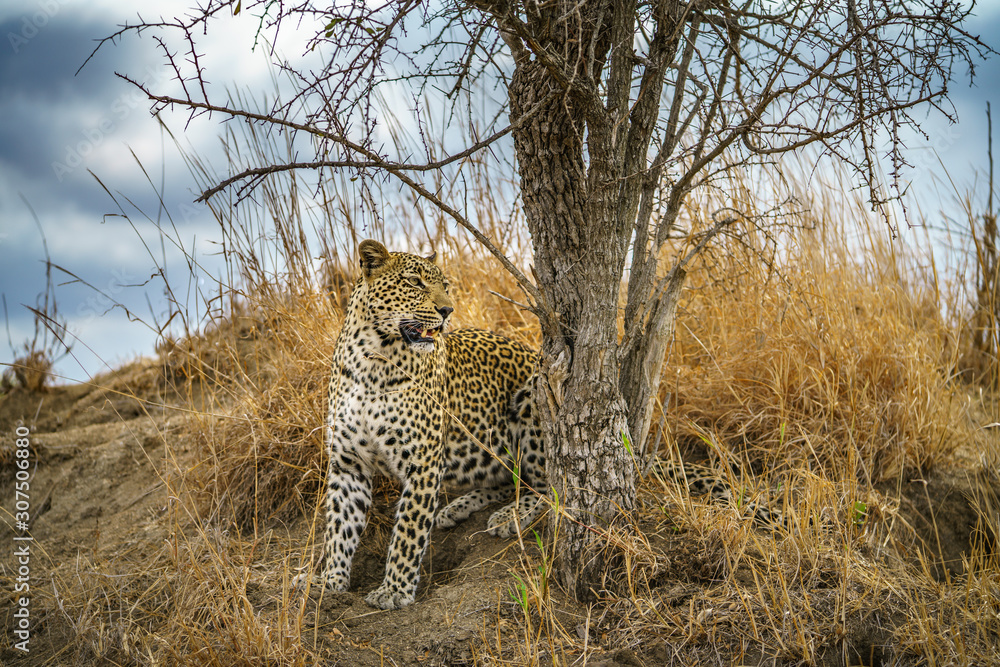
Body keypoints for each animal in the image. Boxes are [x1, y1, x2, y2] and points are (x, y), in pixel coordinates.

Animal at [293, 240, 546, 610]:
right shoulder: (347, 463)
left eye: (446, 285)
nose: (448, 310)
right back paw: (456, 508)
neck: (373, 359)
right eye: (415, 282)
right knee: (506, 479)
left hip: (533, 400)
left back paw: (507, 516)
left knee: (550, 487)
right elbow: (340, 526)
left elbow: (408, 532)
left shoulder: (422, 461)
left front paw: (394, 591)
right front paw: (330, 580)